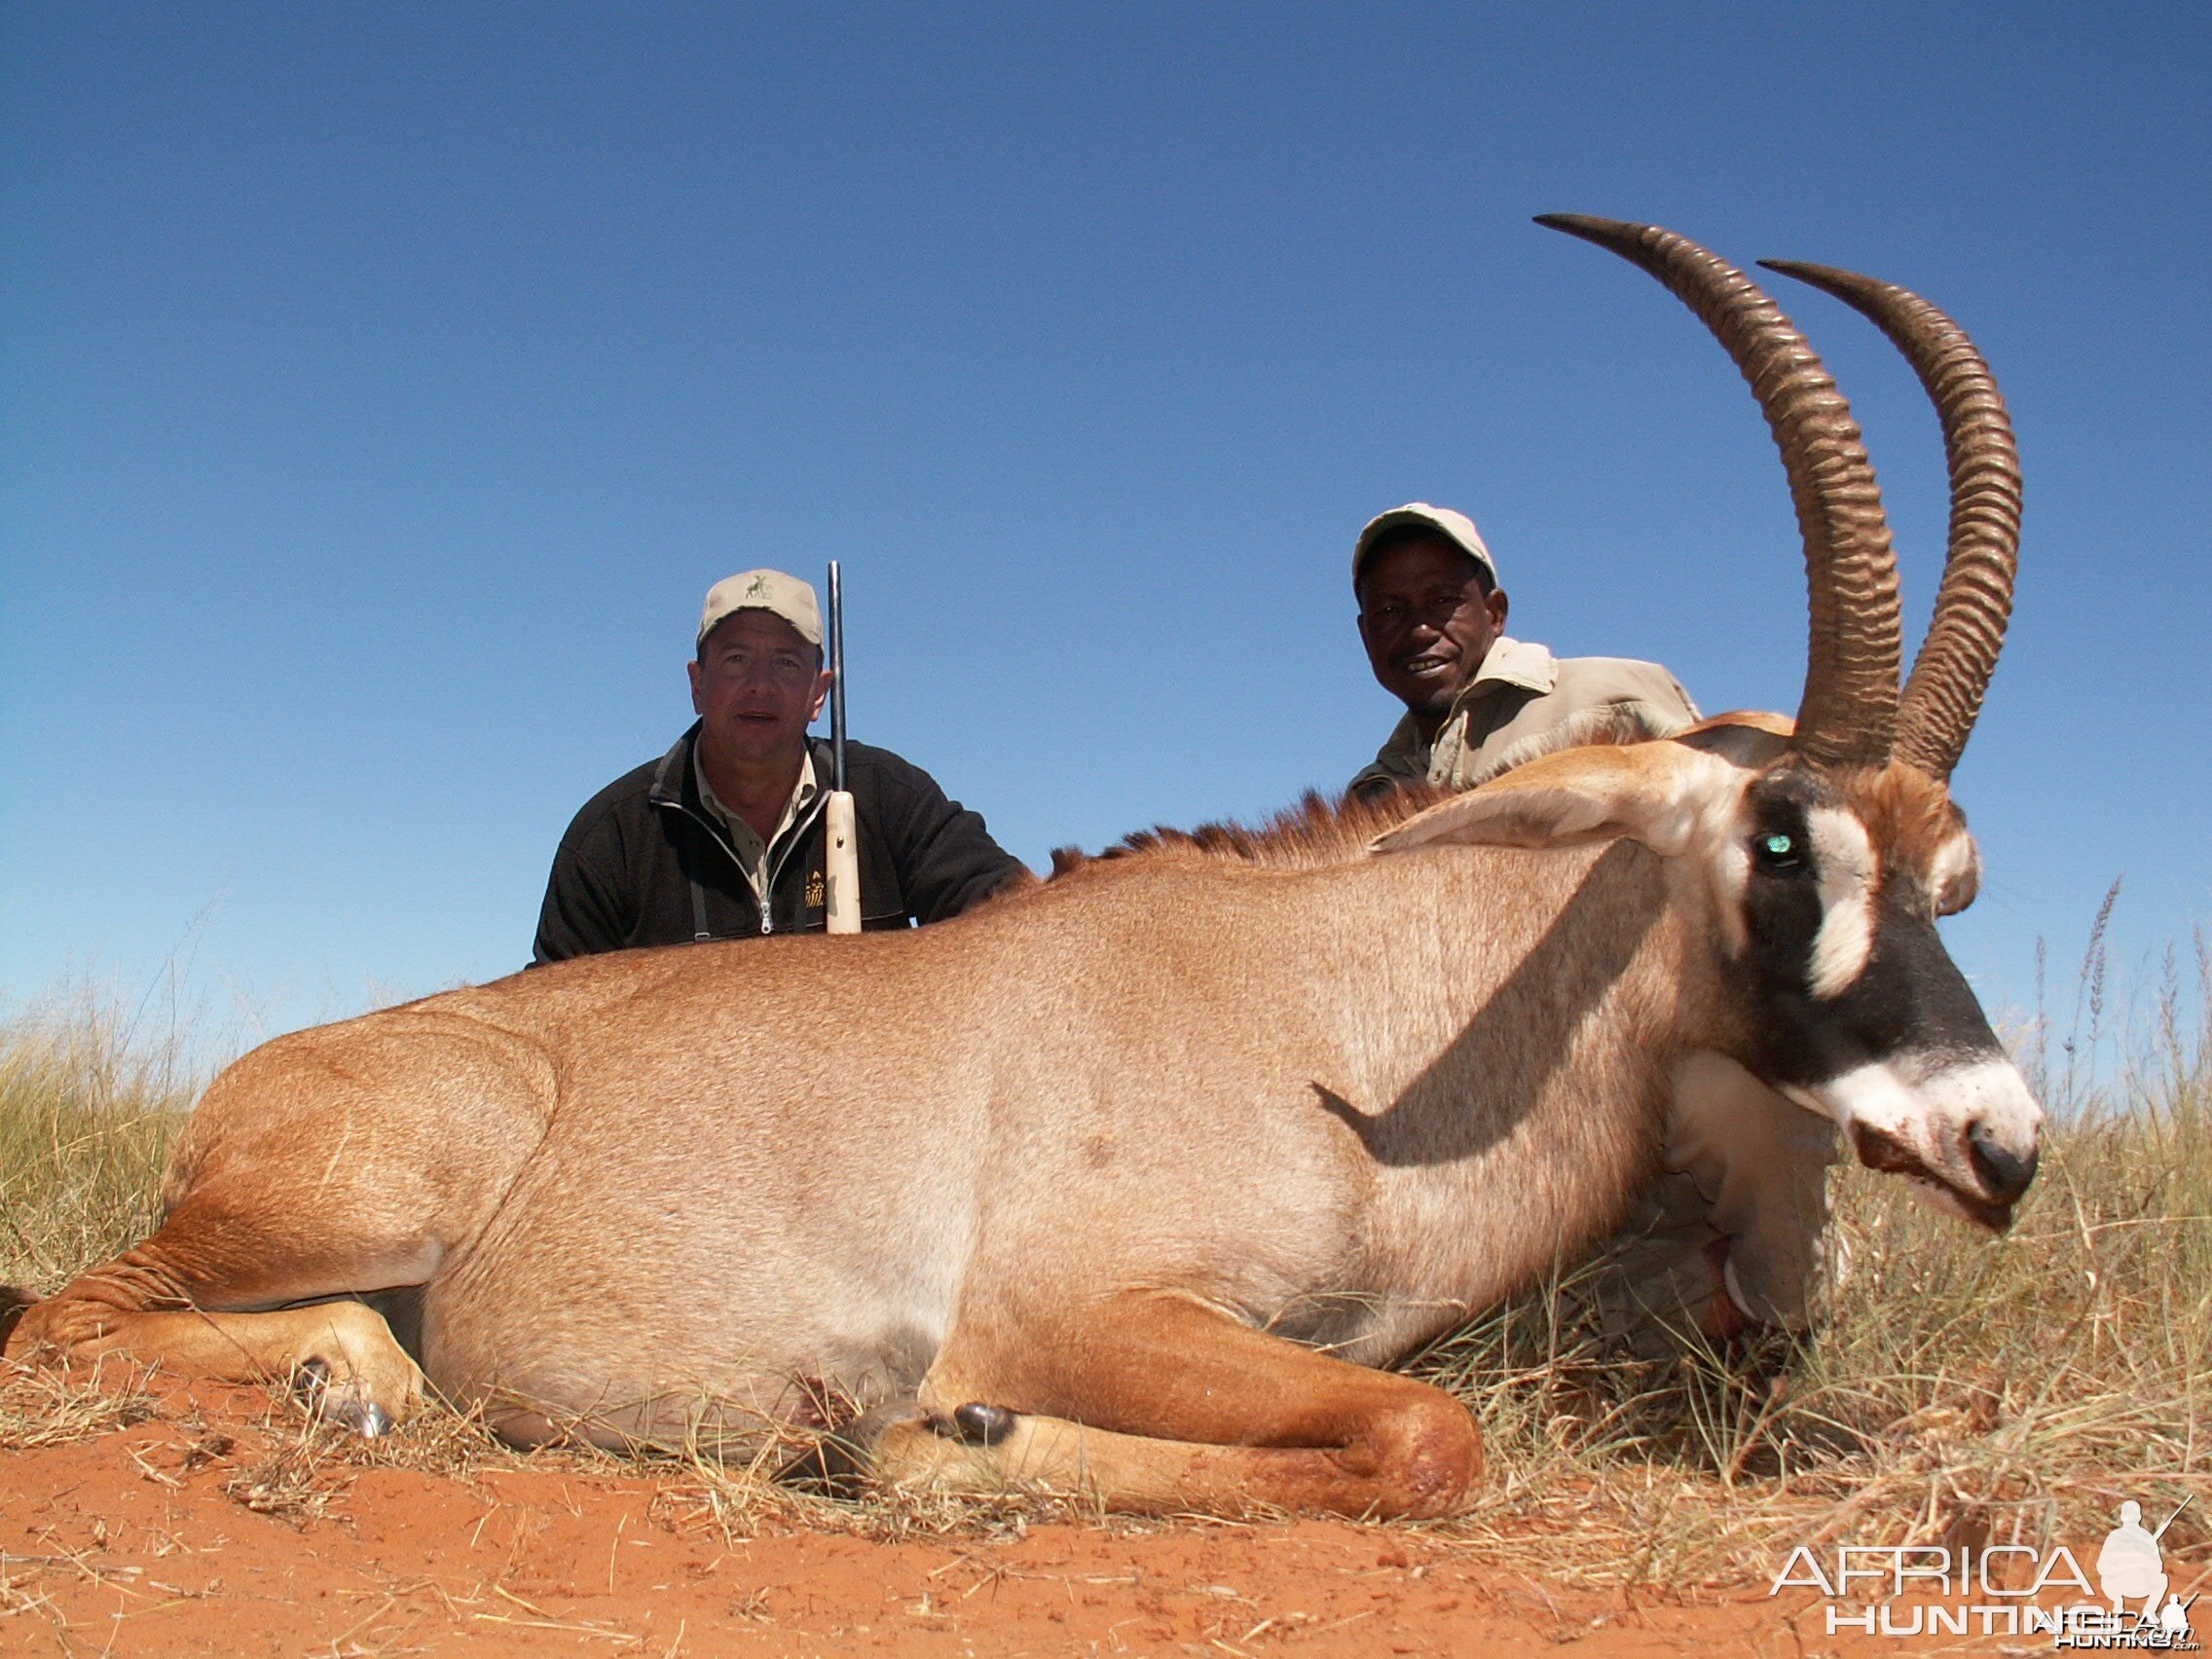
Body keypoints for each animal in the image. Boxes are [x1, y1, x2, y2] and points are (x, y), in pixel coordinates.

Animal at [0, 217, 2035, 1522]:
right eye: (1777, 837)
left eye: (1955, 872)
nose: (2000, 1140)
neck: (1351, 1025)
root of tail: (253, 1082)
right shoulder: (1080, 1309)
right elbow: (1428, 1438)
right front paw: (918, 1442)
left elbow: (1418, 1424)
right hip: (347, 1196)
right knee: (78, 1317)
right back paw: (342, 1376)